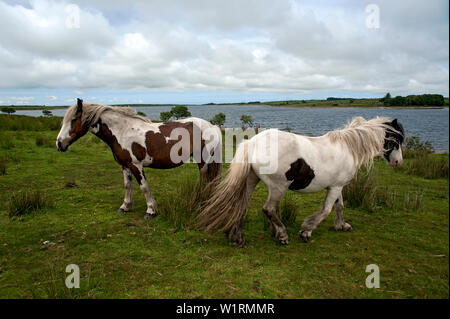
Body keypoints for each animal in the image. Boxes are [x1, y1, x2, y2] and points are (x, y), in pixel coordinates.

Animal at [56, 99, 221, 220]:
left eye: (74, 119)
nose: (59, 143)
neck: (122, 131)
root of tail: (211, 125)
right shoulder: (125, 165)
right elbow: (127, 185)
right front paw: (125, 207)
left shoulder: (136, 165)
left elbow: (144, 187)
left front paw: (151, 211)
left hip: (203, 161)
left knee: (206, 180)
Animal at [199, 117, 406, 248]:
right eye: (396, 139)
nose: (398, 162)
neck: (348, 147)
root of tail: (252, 143)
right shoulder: (335, 187)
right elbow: (326, 210)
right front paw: (306, 231)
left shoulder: (338, 186)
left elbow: (339, 206)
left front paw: (342, 226)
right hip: (278, 187)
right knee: (268, 209)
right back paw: (282, 235)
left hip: (251, 180)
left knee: (241, 205)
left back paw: (237, 238)